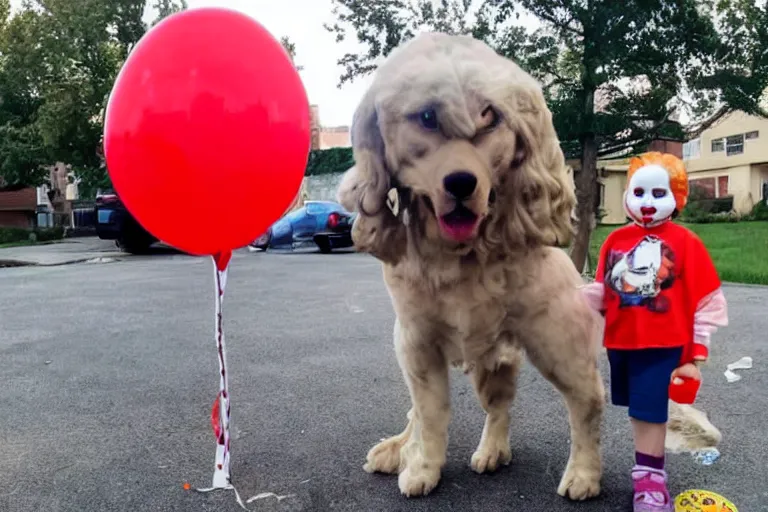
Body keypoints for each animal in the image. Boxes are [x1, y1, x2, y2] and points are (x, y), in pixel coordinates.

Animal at [336, 33, 608, 500]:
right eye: (426, 117)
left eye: (489, 118)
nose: (461, 183)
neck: (460, 254)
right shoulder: (415, 342)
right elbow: (429, 413)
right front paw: (422, 466)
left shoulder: (561, 341)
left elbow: (585, 407)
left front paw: (585, 474)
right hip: (485, 364)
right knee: (483, 410)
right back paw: (427, 450)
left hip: (539, 348)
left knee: (575, 403)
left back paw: (563, 469)